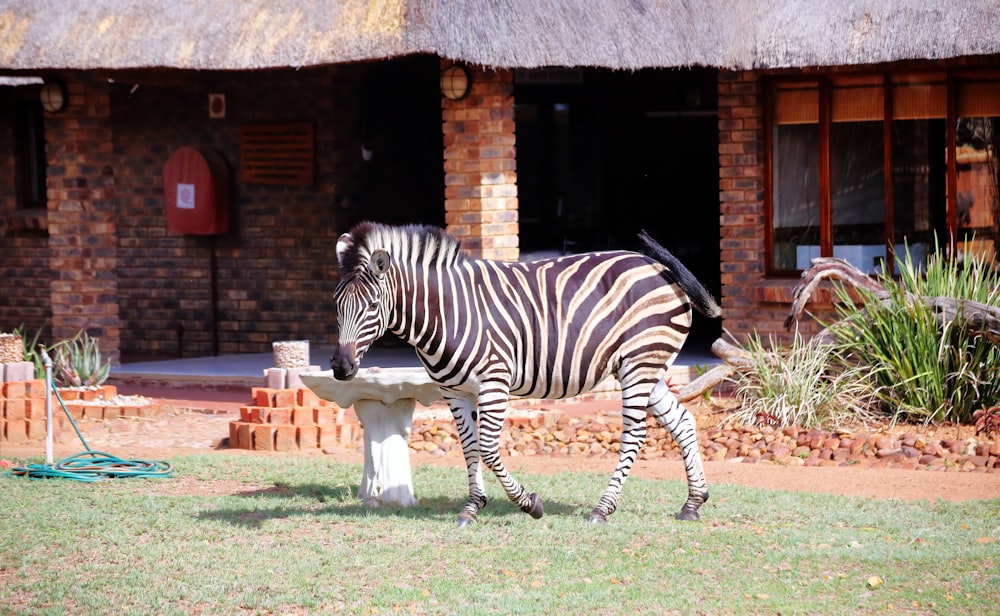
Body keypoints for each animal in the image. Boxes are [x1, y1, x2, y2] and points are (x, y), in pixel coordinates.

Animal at [334, 224, 720, 528]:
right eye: (336, 305)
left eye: (372, 306)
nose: (340, 367)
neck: (446, 312)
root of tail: (658, 267)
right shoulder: (453, 390)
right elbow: (469, 447)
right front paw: (472, 507)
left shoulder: (494, 382)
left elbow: (488, 449)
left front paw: (530, 504)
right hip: (644, 368)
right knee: (683, 421)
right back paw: (692, 503)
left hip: (640, 363)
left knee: (635, 434)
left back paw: (602, 509)